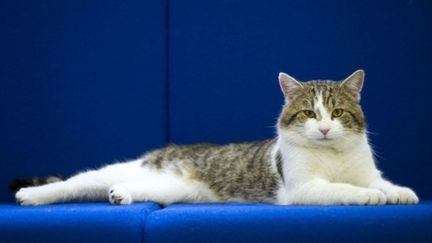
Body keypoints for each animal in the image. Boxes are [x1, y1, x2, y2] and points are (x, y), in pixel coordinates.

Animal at [14, 69, 418, 206]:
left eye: (336, 114)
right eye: (308, 113)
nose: (323, 128)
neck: (332, 154)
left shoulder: (367, 170)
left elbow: (381, 182)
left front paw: (399, 192)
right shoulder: (303, 188)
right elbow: (346, 189)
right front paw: (370, 197)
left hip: (170, 188)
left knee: (130, 187)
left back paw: (121, 194)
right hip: (121, 170)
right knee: (73, 183)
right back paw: (32, 196)